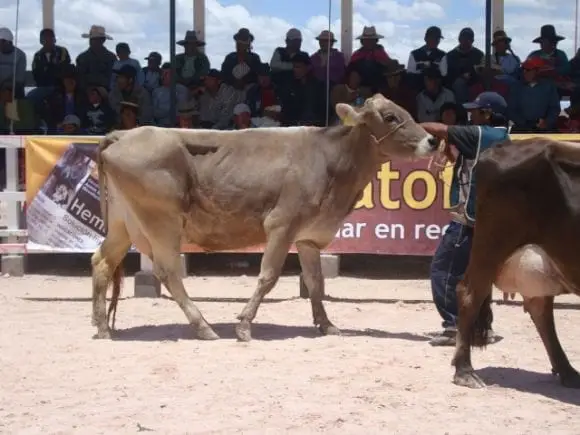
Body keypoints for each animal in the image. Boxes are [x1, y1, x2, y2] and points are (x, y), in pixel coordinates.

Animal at [90, 94, 438, 340]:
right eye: (391, 116)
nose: (432, 140)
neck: (330, 158)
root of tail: (123, 135)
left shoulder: (309, 237)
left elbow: (315, 282)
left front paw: (326, 325)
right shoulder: (282, 226)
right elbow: (268, 276)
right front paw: (244, 325)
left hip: (123, 224)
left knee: (102, 261)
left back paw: (102, 326)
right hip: (160, 222)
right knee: (169, 272)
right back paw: (203, 326)